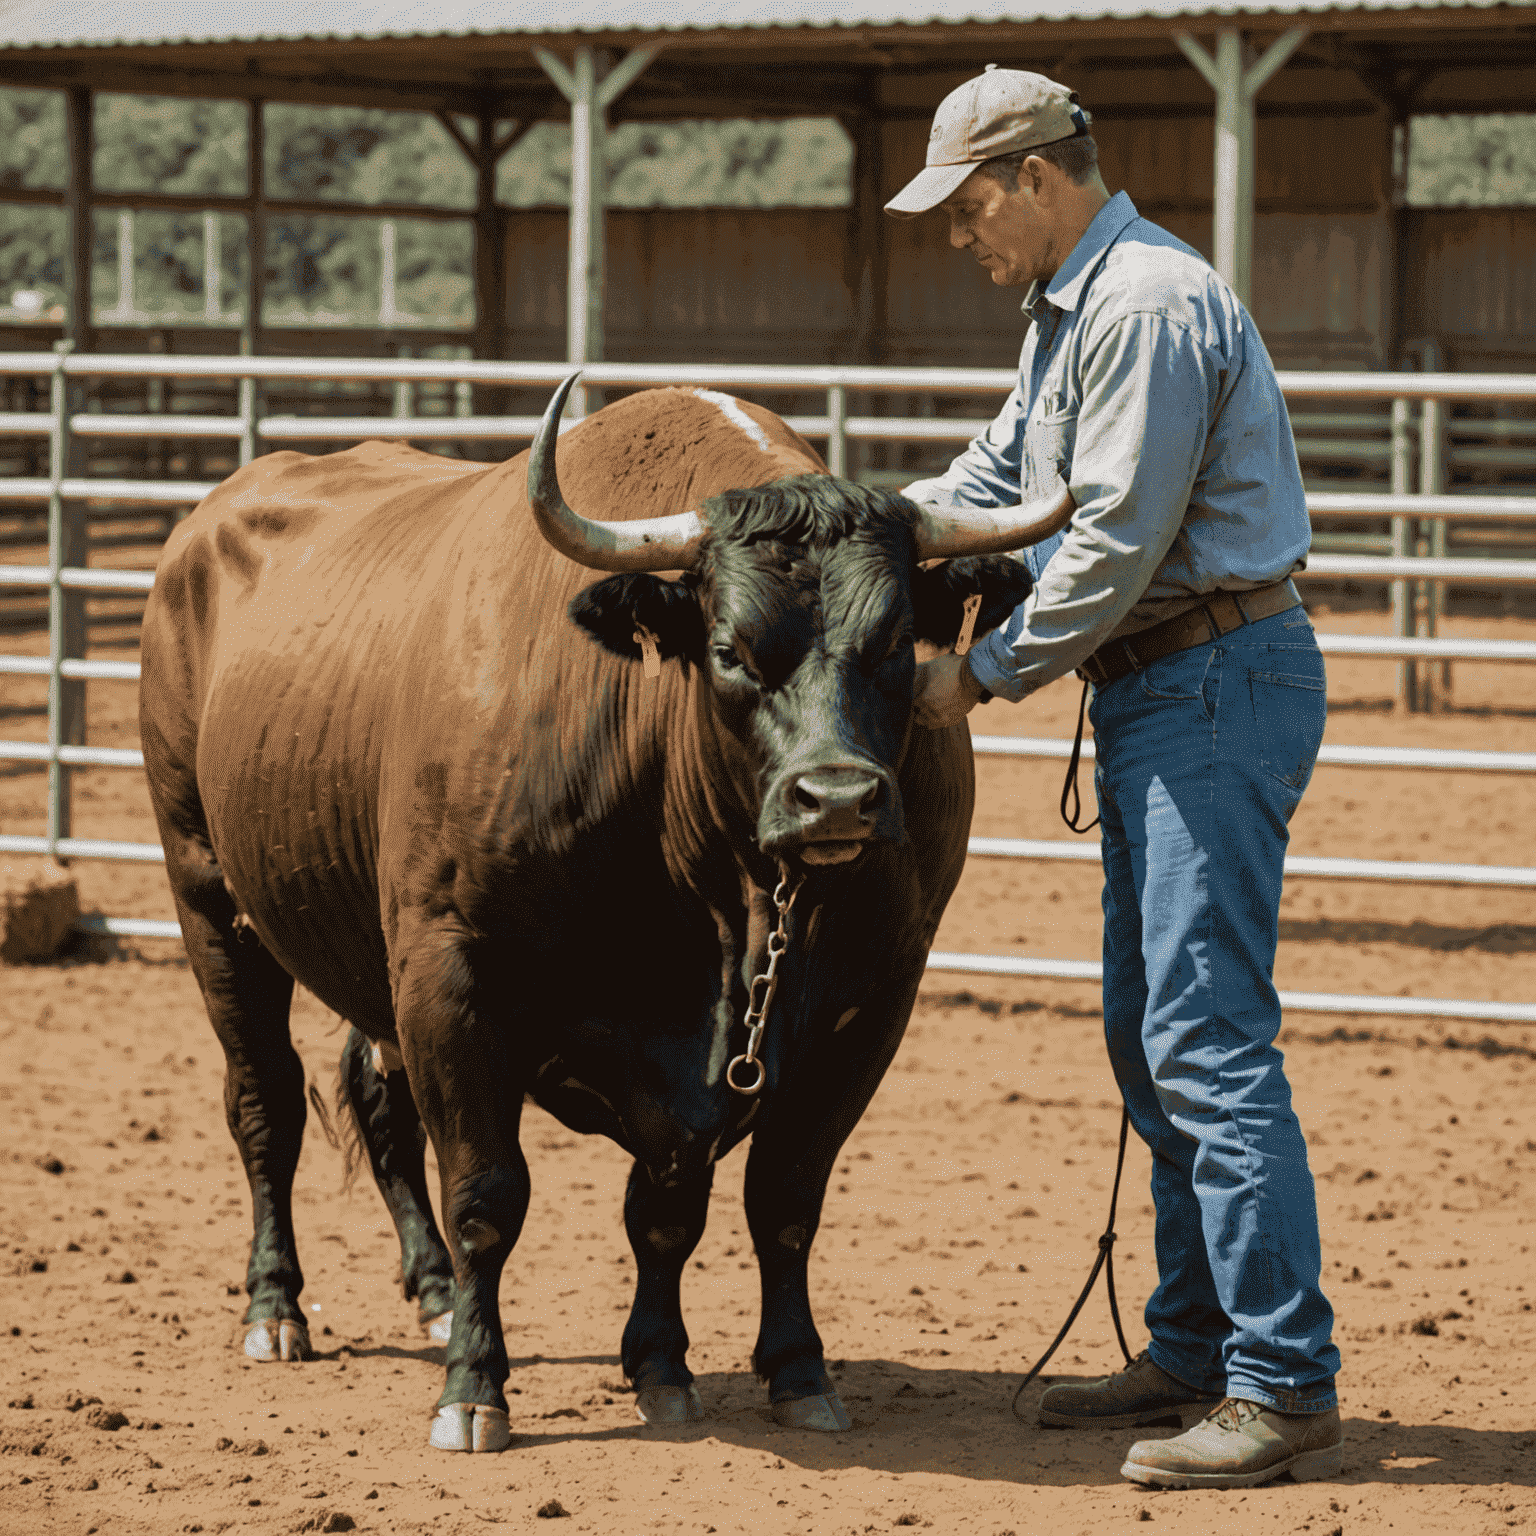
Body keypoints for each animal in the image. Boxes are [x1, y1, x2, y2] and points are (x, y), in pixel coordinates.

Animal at [144, 377, 1075, 1443]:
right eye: (729, 649)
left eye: (892, 645)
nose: (836, 799)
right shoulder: (450, 975)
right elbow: (487, 1197)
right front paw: (475, 1389)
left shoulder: (867, 1004)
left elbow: (753, 1200)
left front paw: (742, 1366)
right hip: (210, 897)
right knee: (265, 1102)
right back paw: (276, 1307)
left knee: (381, 1104)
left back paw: (432, 1293)